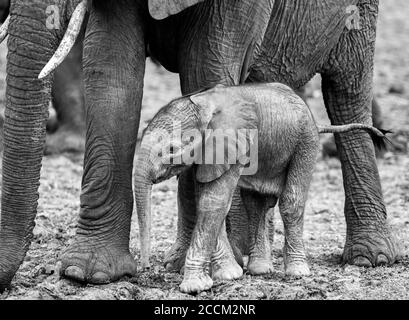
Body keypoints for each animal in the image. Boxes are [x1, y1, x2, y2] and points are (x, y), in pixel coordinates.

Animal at [133, 83, 386, 296]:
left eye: (171, 149)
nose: (145, 268)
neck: (202, 105)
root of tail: (315, 121)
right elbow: (208, 200)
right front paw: (229, 274)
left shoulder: (232, 146)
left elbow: (213, 200)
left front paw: (195, 287)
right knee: (256, 205)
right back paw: (260, 270)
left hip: (305, 142)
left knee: (291, 202)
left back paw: (297, 272)